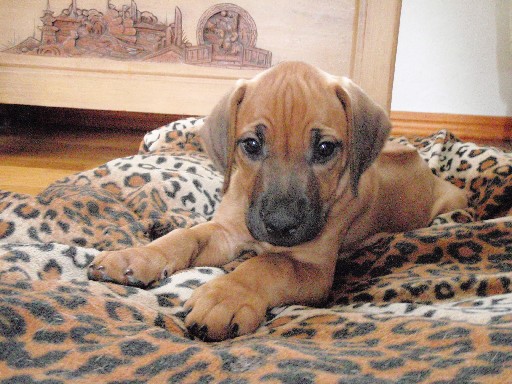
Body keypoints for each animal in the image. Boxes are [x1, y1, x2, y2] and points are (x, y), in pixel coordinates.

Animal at [89, 61, 468, 340]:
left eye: (325, 148)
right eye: (251, 145)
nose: (280, 225)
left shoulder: (313, 268)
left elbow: (269, 264)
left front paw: (226, 296)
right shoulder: (226, 231)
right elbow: (185, 237)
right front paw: (136, 256)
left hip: (451, 200)